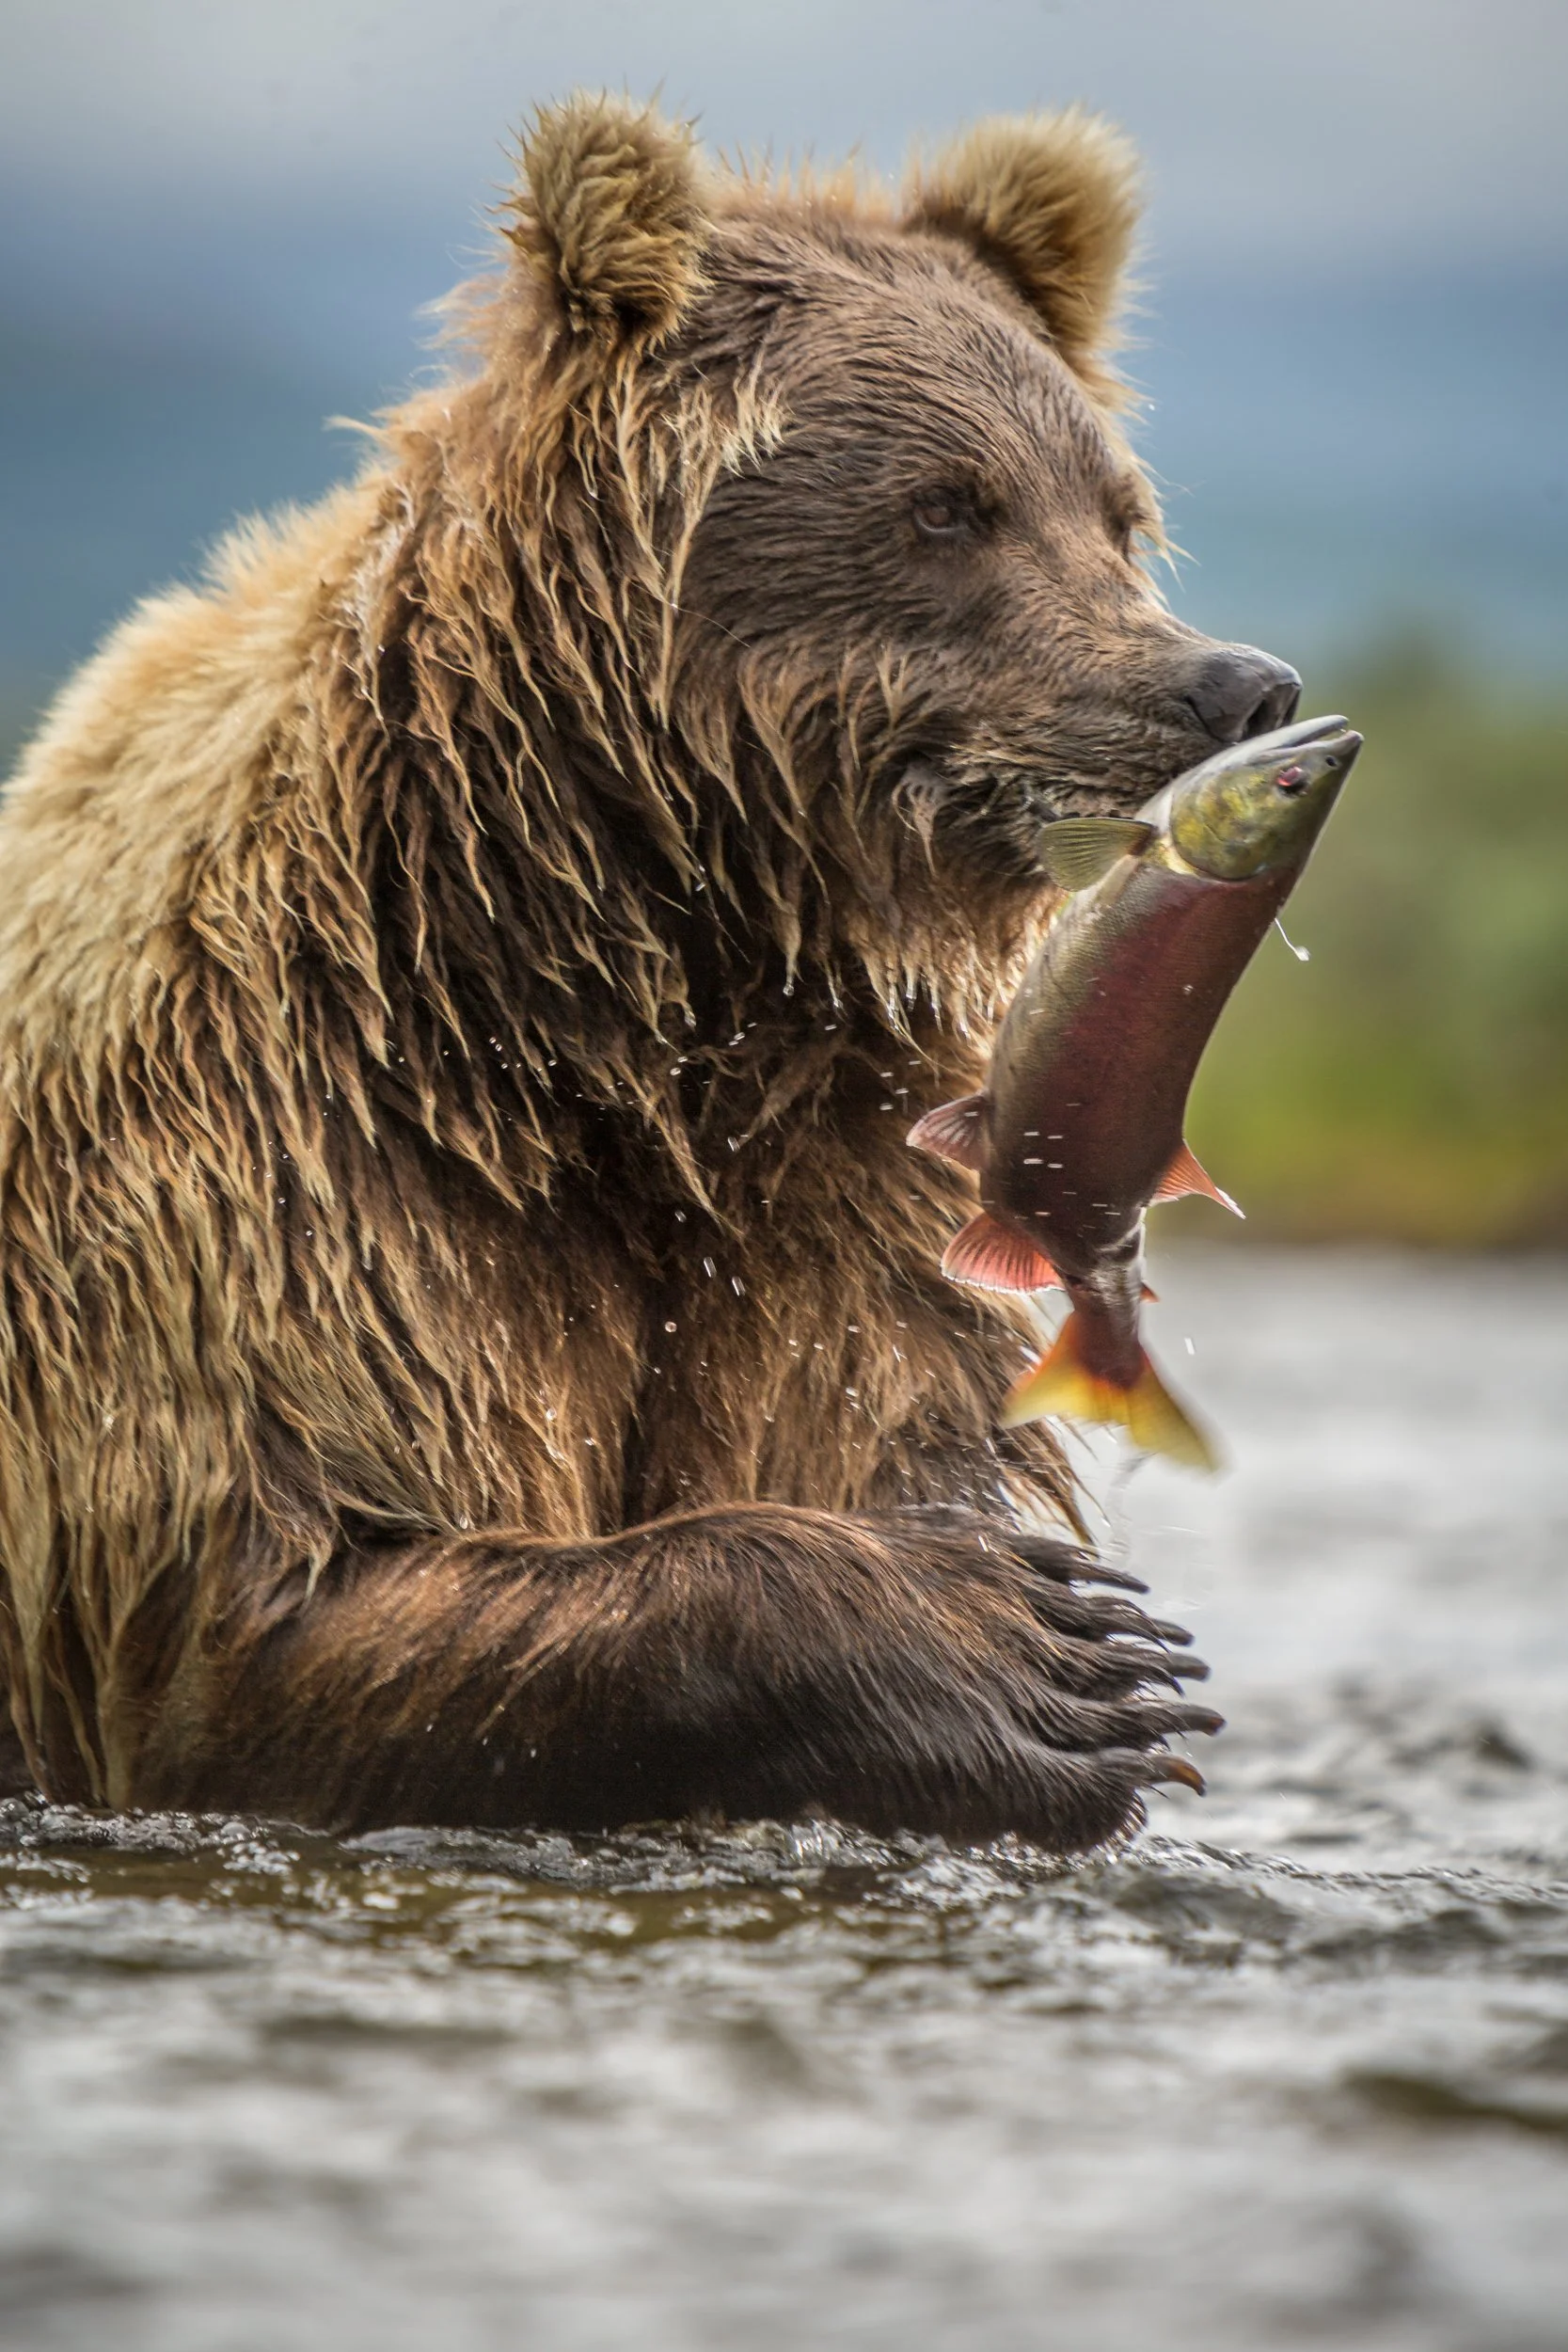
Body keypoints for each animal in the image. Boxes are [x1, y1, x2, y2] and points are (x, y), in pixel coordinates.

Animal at [0, 97, 1301, 1849]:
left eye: (1111, 507)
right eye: (946, 505)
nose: (1230, 686)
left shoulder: (832, 1197)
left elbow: (869, 1422)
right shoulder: (279, 1176)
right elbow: (266, 1613)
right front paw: (1032, 1657)